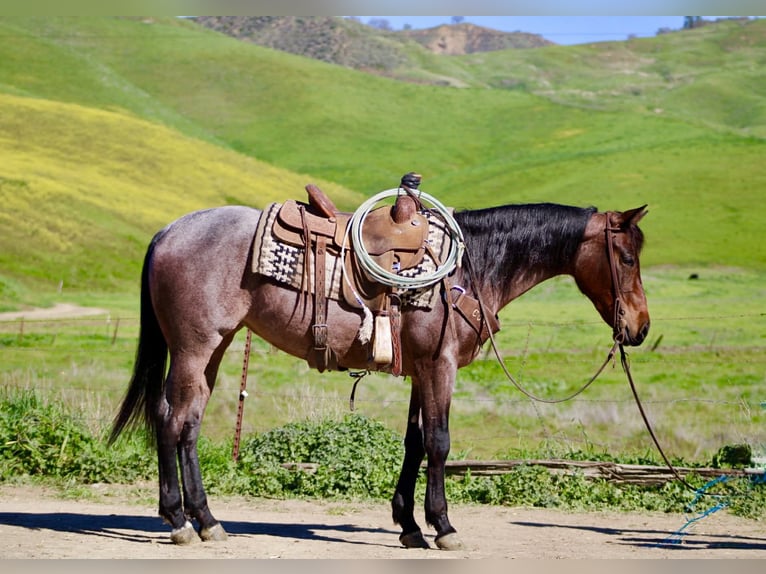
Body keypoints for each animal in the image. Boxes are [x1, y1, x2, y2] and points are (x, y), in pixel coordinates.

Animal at [109, 196, 650, 550]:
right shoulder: (440, 366)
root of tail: (169, 231)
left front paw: (409, 525)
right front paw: (444, 527)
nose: (640, 327)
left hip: (214, 348)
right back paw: (180, 521)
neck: (470, 268)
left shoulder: (420, 370)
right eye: (626, 257)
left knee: (186, 423)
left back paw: (203, 519)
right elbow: (439, 442)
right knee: (172, 420)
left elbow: (415, 443)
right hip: (193, 348)